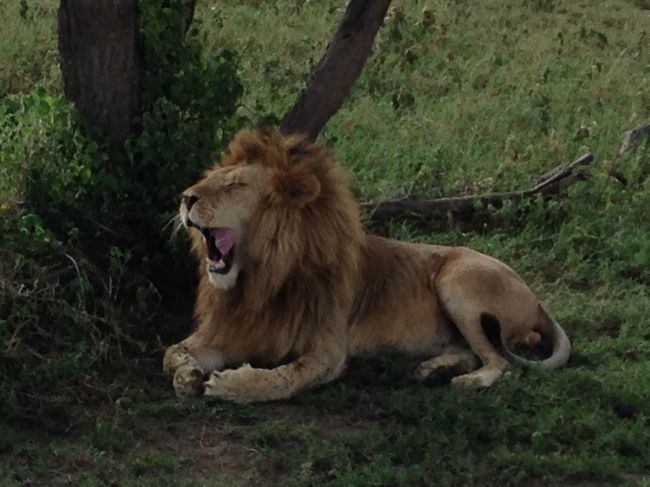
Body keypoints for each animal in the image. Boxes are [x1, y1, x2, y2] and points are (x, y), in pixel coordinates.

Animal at [162, 127, 568, 402]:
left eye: (235, 185)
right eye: (209, 179)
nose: (184, 197)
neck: (261, 278)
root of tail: (536, 299)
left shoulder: (329, 349)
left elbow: (285, 378)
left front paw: (233, 384)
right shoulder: (233, 330)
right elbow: (171, 353)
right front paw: (189, 374)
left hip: (457, 281)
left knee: (499, 360)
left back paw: (464, 381)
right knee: (473, 351)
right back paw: (432, 369)